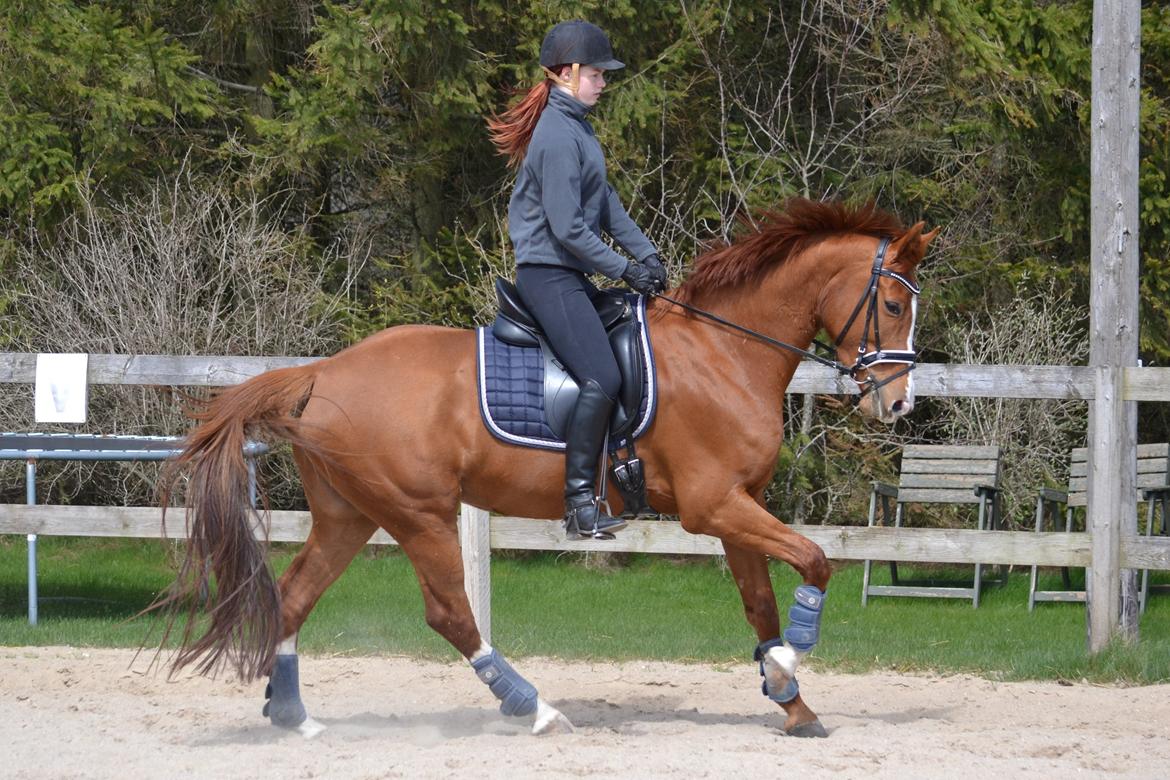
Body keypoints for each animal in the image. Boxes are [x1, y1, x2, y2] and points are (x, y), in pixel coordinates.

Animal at [160, 198, 935, 743]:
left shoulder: (738, 507)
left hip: (350, 516)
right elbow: (815, 560)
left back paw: (296, 717)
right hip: (420, 514)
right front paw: (796, 659)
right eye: (894, 304)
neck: (724, 354)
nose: (898, 404)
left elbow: (760, 603)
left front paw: (791, 699)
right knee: (450, 614)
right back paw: (533, 709)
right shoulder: (712, 505)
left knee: (293, 598)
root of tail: (322, 372)